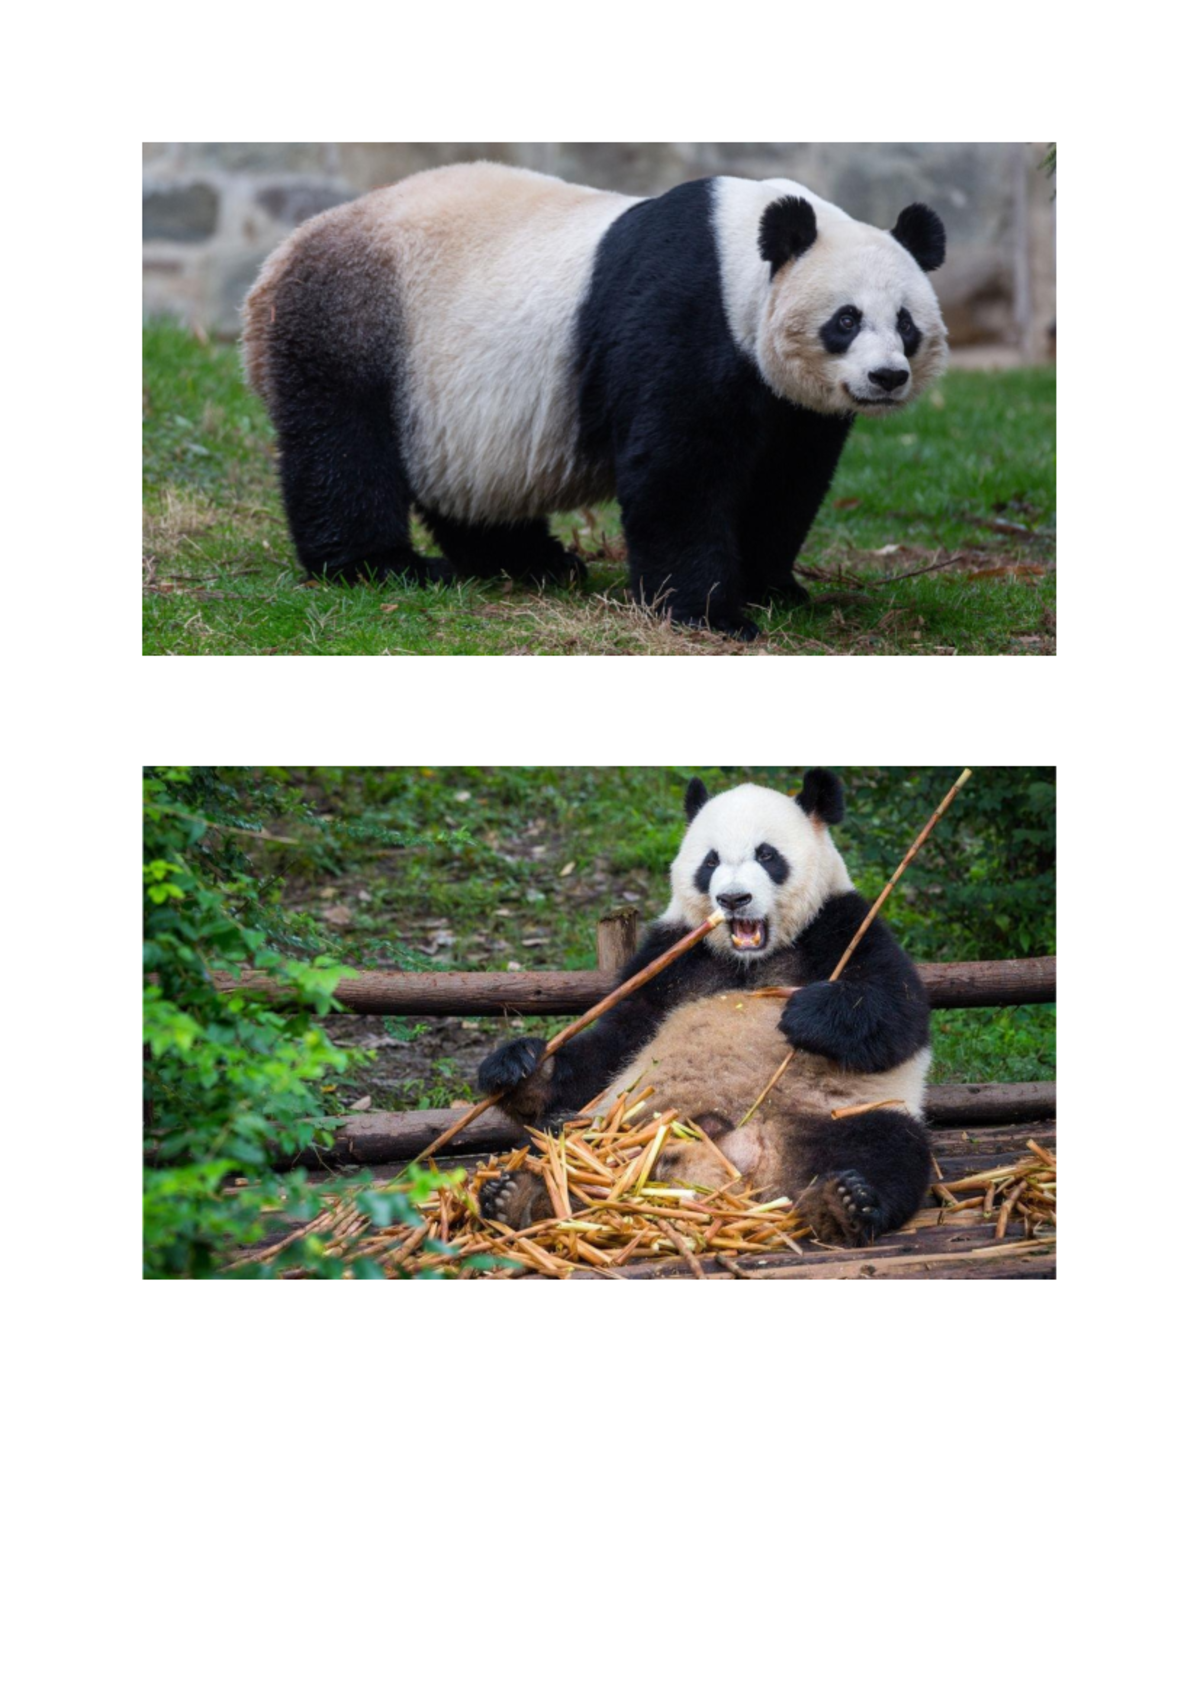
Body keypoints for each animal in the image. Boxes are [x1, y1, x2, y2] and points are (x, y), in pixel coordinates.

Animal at [242, 162, 948, 639]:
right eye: (846, 320)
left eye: (906, 323)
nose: (886, 377)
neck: (743, 258)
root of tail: (276, 263)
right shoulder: (685, 315)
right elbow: (677, 469)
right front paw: (710, 613)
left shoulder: (791, 406)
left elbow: (786, 479)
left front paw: (772, 587)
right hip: (352, 324)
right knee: (342, 448)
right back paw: (385, 566)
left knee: (465, 485)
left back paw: (534, 562)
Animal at [477, 772, 933, 1246]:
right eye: (710, 862)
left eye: (766, 855)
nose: (733, 899)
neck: (749, 960)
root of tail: (735, 1161)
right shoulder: (671, 956)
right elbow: (615, 1042)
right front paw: (520, 1067)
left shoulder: (842, 923)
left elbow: (898, 1012)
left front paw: (803, 1014)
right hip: (621, 1120)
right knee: (553, 1141)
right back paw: (520, 1195)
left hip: (834, 1114)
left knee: (889, 1146)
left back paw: (844, 1203)